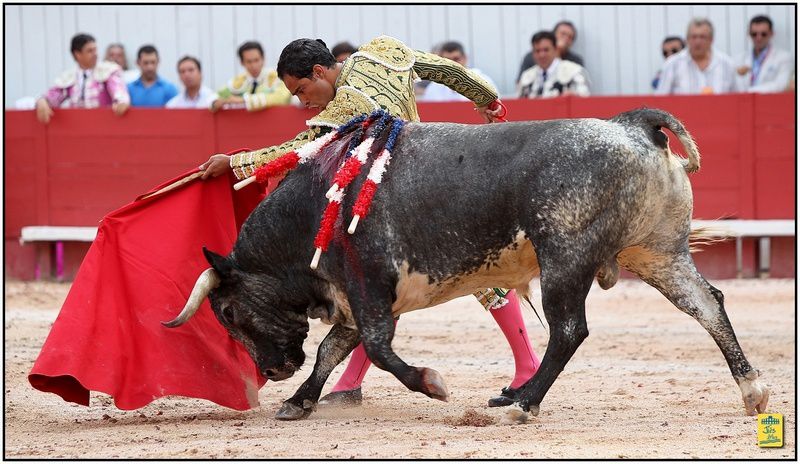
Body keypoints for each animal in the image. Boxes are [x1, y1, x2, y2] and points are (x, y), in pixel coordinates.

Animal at [162, 109, 768, 424]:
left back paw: (522, 402)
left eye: (229, 313)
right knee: (706, 305)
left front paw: (432, 384)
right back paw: (753, 391)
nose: (272, 371)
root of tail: (630, 124)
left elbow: (377, 350)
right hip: (658, 251)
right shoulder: (354, 298)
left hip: (564, 256)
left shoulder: (369, 287)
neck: (316, 206)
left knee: (569, 329)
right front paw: (298, 401)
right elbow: (334, 350)